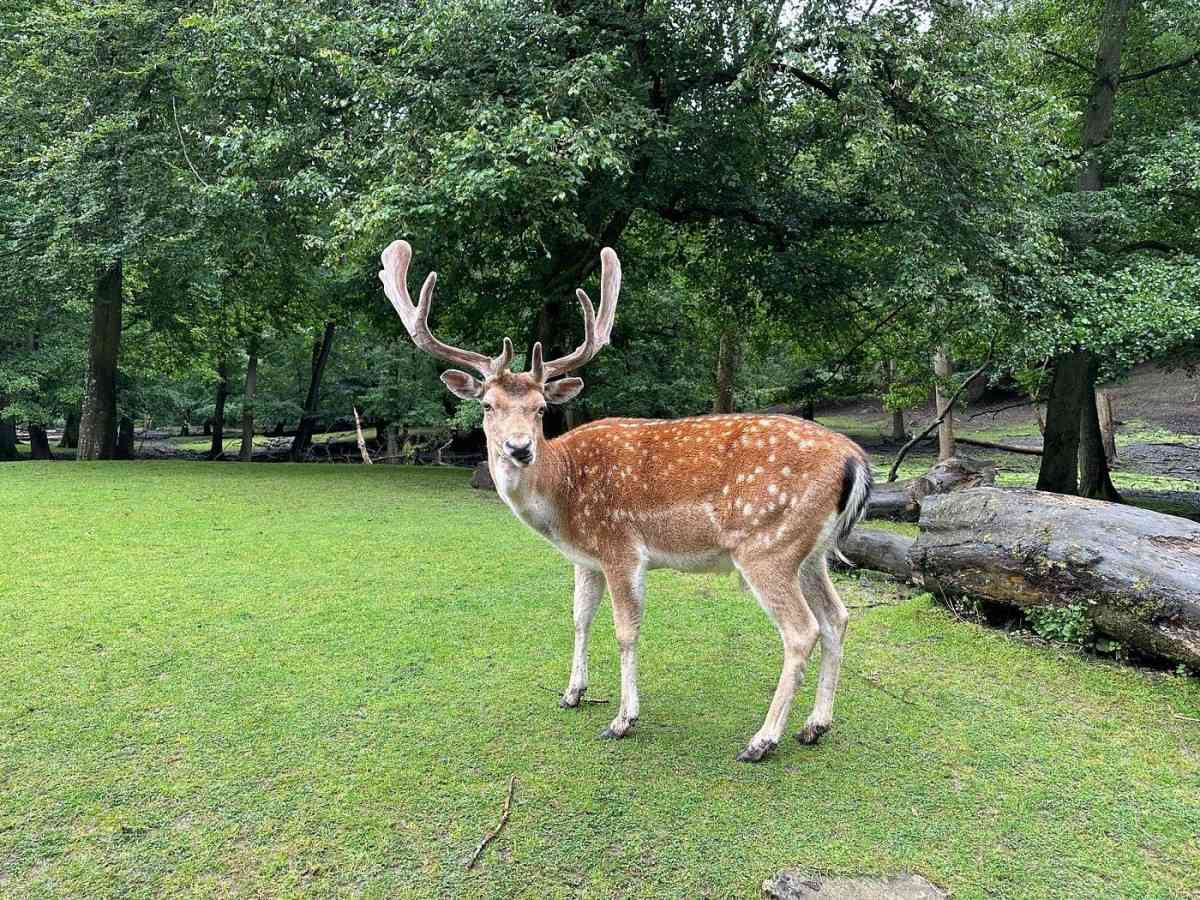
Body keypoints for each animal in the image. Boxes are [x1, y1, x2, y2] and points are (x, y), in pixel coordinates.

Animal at [378, 240, 873, 762]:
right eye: (488, 405)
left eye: (541, 409)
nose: (518, 448)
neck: (561, 501)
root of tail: (856, 460)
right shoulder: (585, 558)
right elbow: (579, 617)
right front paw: (572, 694)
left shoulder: (620, 546)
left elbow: (625, 629)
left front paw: (622, 719)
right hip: (812, 552)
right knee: (837, 618)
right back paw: (814, 726)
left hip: (767, 546)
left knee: (802, 630)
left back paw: (762, 740)